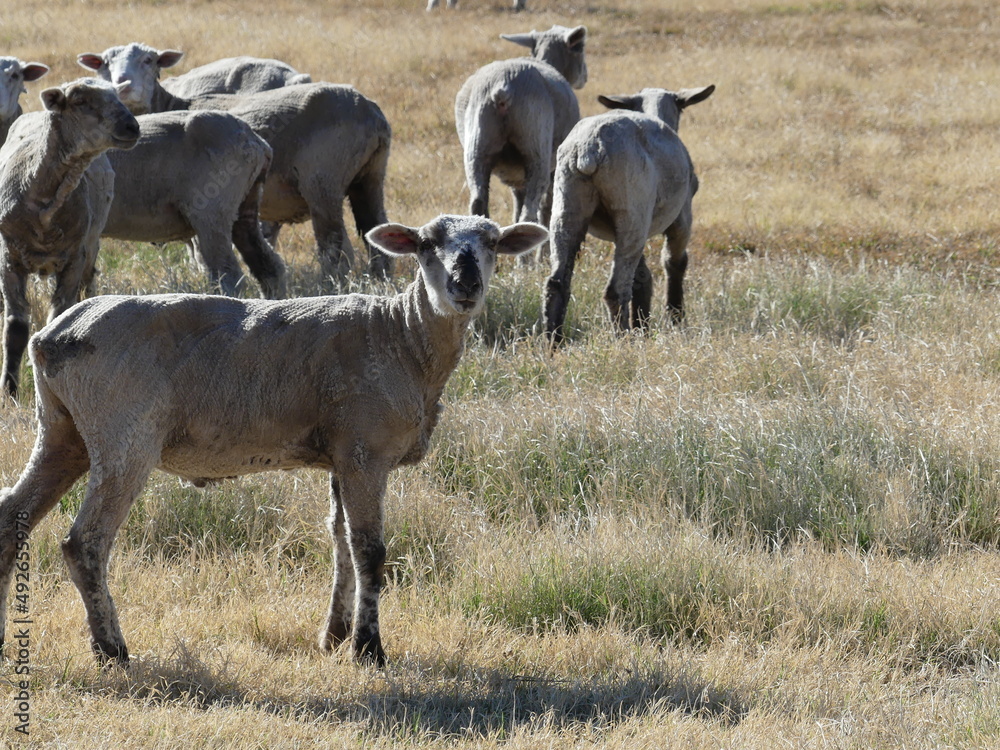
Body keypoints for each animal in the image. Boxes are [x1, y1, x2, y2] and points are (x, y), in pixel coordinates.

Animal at [0, 78, 139, 399]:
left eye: (118, 95)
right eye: (79, 101)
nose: (132, 126)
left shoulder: (74, 257)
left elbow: (59, 319)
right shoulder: (9, 259)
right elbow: (15, 328)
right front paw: (9, 391)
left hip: (92, 243)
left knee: (88, 288)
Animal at [0, 214, 548, 666]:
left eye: (492, 243)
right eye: (427, 244)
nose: (465, 284)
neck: (402, 336)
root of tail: (53, 335)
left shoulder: (341, 453)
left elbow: (340, 540)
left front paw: (334, 636)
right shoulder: (366, 453)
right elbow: (369, 550)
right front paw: (368, 649)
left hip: (63, 430)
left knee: (13, 517)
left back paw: (8, 642)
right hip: (124, 435)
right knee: (84, 543)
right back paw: (112, 650)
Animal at [454, 24, 586, 260]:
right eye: (580, 49)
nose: (585, 76)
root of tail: (503, 85)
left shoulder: (517, 179)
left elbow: (516, 210)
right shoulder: (552, 169)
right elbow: (546, 209)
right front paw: (543, 256)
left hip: (477, 148)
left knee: (478, 203)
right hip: (536, 151)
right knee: (530, 213)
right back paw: (525, 264)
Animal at [543, 86, 715, 341]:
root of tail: (589, 148)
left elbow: (642, 277)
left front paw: (643, 325)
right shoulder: (682, 216)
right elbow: (674, 262)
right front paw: (675, 319)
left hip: (568, 203)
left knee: (556, 282)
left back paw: (553, 342)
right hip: (632, 209)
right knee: (615, 289)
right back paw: (624, 339)